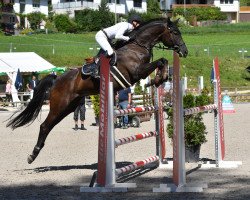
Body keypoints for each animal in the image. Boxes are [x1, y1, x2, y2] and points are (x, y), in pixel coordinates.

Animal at [6, 17, 188, 164]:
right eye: (175, 32)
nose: (185, 51)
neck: (137, 45)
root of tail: (57, 79)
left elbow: (163, 61)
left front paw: (160, 79)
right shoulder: (137, 73)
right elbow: (161, 61)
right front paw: (158, 79)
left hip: (69, 107)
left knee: (49, 126)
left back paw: (34, 153)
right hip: (59, 105)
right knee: (44, 126)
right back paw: (32, 155)